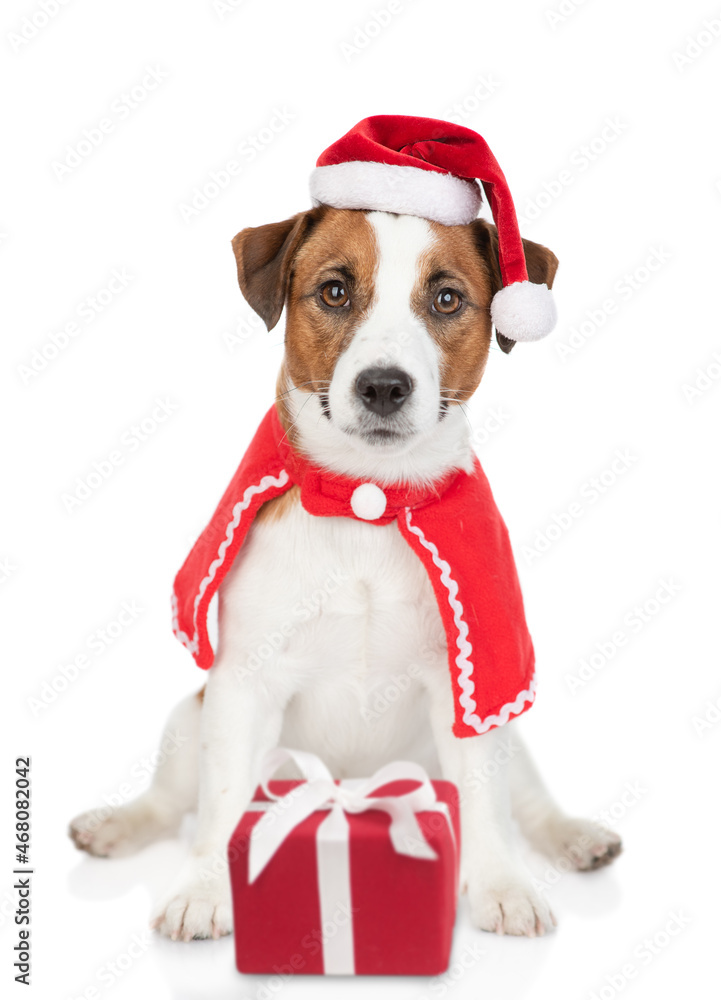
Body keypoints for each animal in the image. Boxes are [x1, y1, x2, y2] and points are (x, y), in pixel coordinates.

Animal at [69, 201, 620, 936]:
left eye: (447, 299)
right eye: (333, 291)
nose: (384, 386)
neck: (368, 498)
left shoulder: (470, 689)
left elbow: (484, 801)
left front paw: (500, 885)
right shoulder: (242, 686)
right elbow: (219, 804)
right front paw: (207, 890)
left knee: (524, 805)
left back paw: (574, 837)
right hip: (192, 718)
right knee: (168, 801)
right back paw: (117, 825)